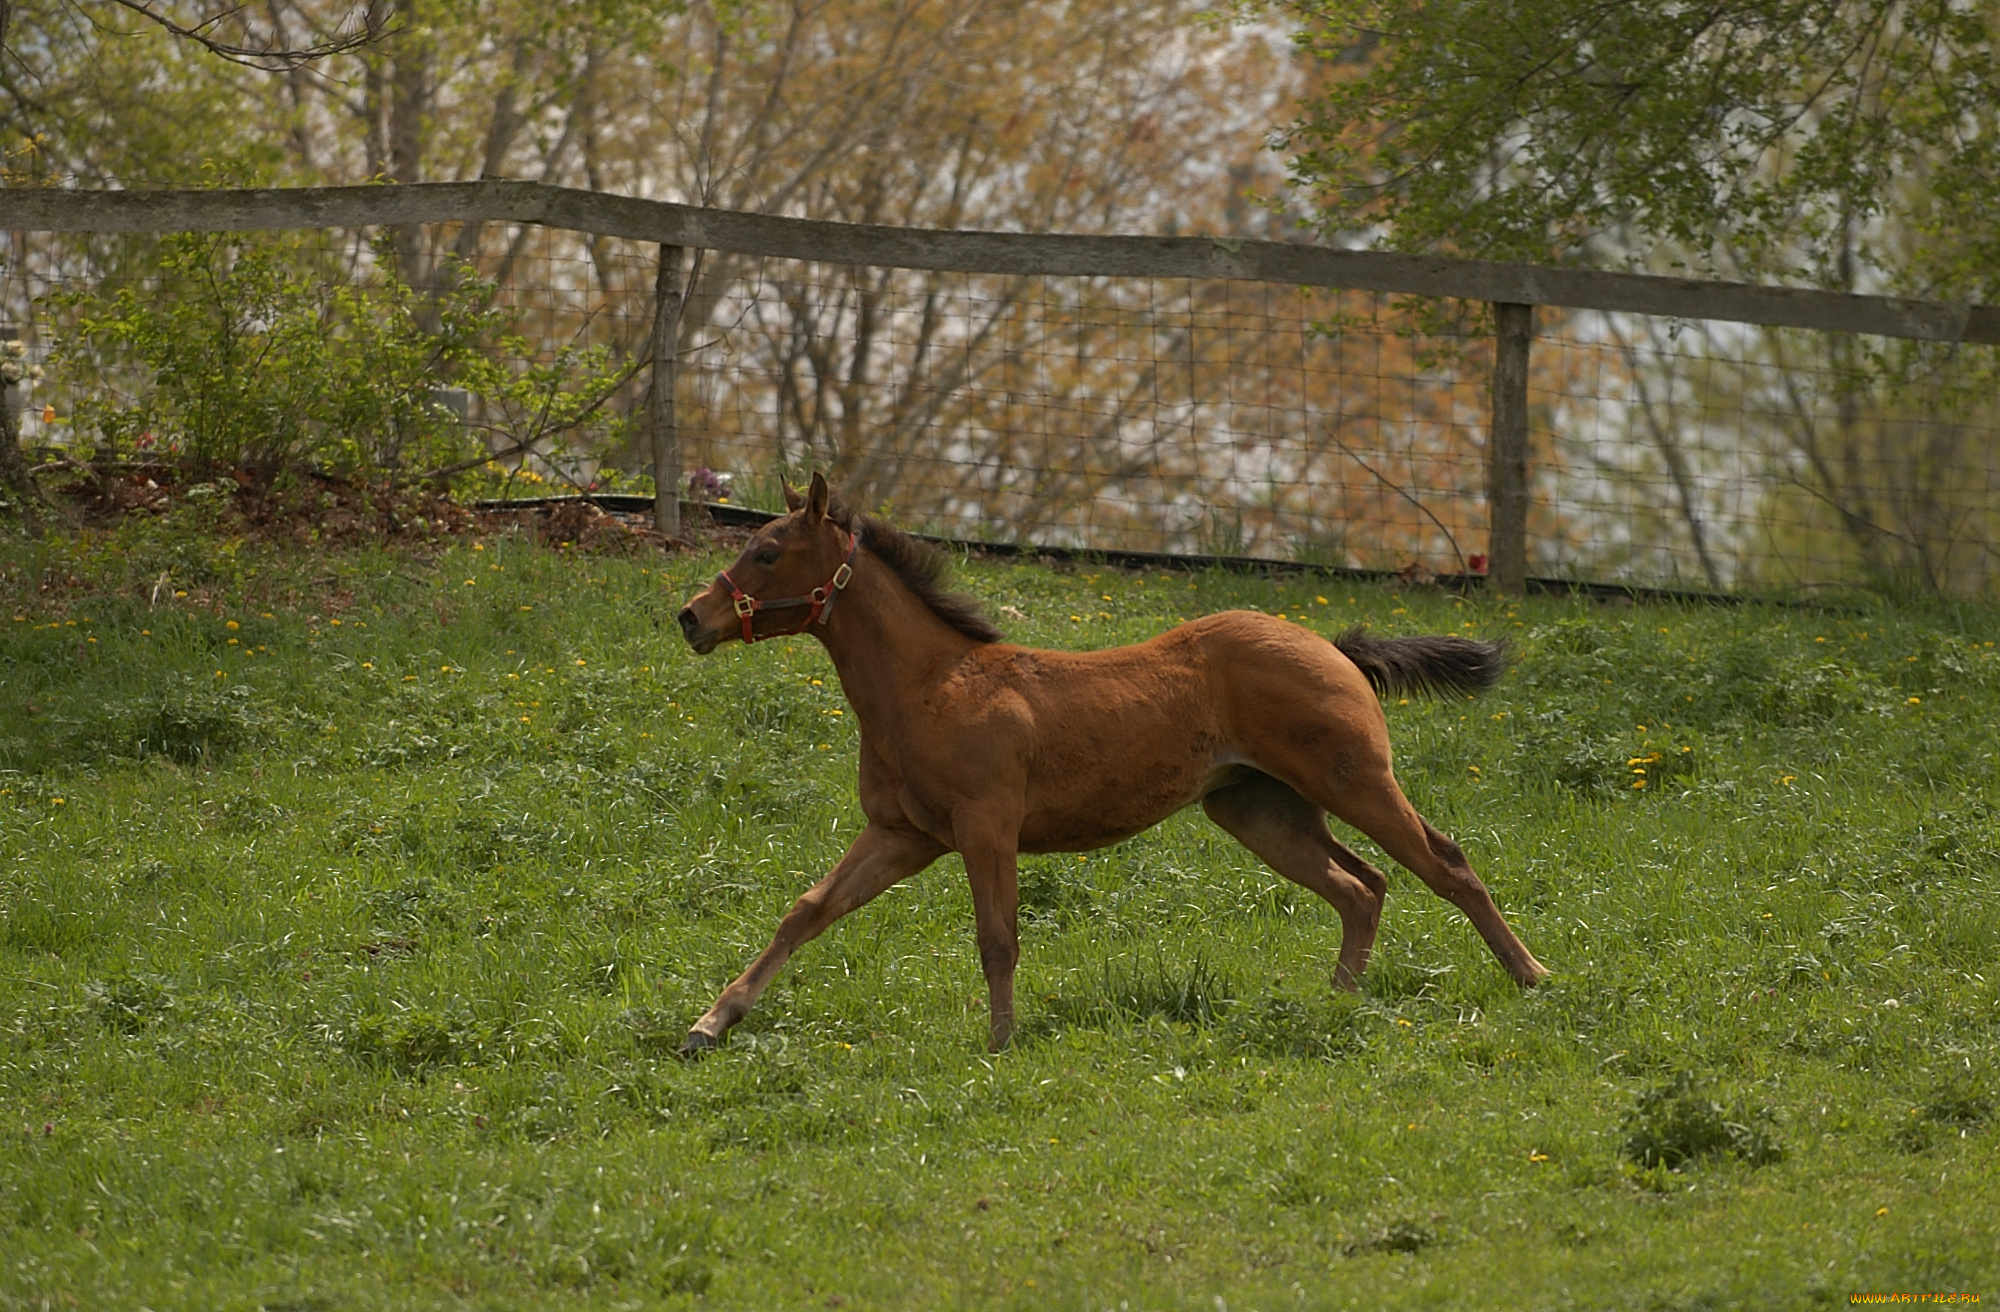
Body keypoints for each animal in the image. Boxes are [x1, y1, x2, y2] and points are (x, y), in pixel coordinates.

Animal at [672, 474, 1544, 1056]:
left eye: (767, 551)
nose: (690, 617)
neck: (933, 686)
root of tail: (1332, 646)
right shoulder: (901, 835)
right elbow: (807, 910)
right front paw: (708, 1024)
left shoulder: (986, 827)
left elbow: (997, 937)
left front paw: (1001, 1045)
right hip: (1260, 809)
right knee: (1362, 886)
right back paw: (1337, 1003)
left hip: (1353, 780)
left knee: (1445, 863)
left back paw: (1533, 978)